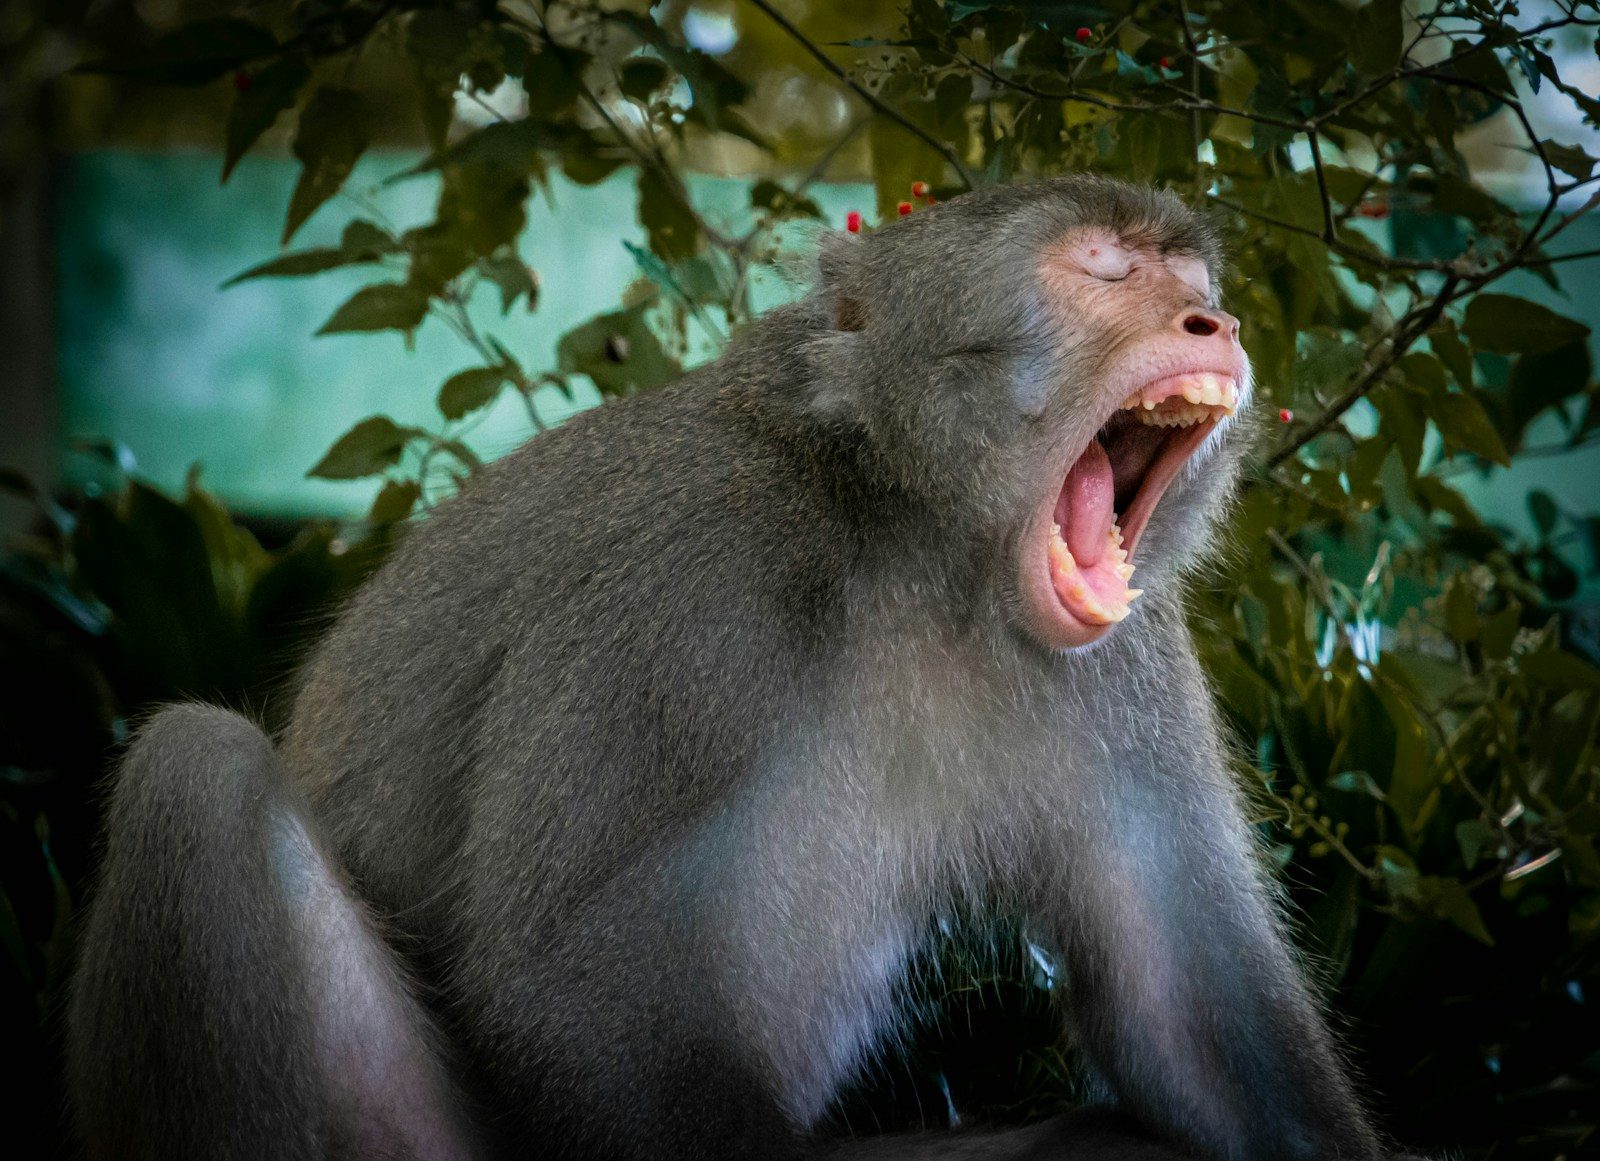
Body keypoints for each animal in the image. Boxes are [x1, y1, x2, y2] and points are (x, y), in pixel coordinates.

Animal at [68, 175, 1418, 1161]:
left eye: (1191, 283)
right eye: (1103, 269)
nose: (1214, 323)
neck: (918, 550)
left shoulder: (1131, 659)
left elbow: (1185, 1032)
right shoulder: (686, 587)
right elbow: (574, 987)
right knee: (198, 769)